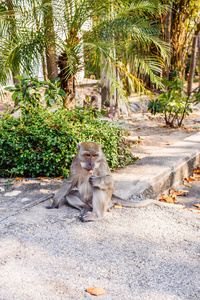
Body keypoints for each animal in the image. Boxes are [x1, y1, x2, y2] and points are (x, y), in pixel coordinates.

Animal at [48, 142, 184, 221]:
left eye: (94, 156)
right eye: (88, 155)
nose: (91, 163)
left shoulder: (102, 162)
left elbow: (109, 181)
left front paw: (96, 179)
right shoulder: (75, 162)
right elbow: (69, 184)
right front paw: (55, 202)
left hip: (106, 201)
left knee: (98, 187)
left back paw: (97, 215)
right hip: (85, 200)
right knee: (70, 195)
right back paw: (84, 208)